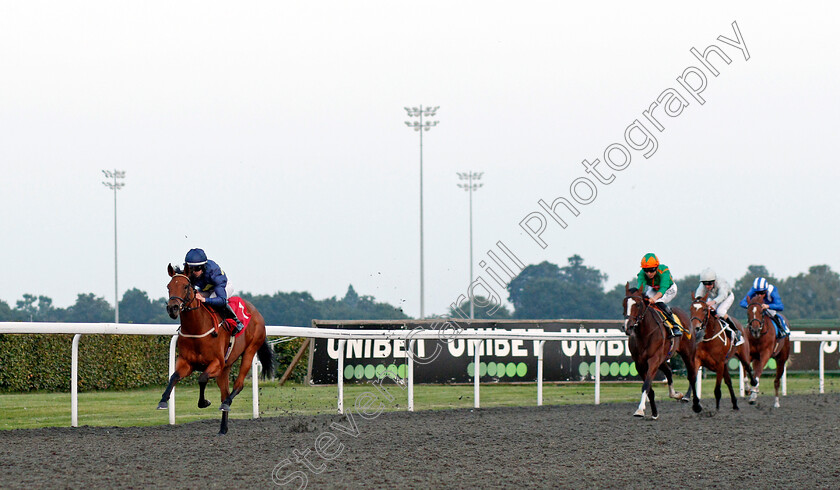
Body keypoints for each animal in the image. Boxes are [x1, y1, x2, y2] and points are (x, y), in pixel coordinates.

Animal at [157, 264, 272, 432]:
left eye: (185, 286)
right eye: (168, 286)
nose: (173, 308)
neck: (197, 328)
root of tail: (256, 312)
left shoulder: (216, 363)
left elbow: (202, 378)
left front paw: (204, 402)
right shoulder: (187, 362)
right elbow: (174, 376)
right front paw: (163, 400)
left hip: (250, 351)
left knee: (238, 385)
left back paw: (226, 403)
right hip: (226, 367)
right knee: (224, 392)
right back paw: (223, 429)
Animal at [620, 286, 704, 420]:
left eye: (638, 304)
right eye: (624, 304)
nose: (628, 327)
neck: (644, 333)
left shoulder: (654, 360)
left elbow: (646, 385)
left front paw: (640, 409)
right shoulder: (640, 363)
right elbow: (650, 388)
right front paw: (654, 413)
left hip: (688, 354)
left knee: (691, 376)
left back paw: (696, 405)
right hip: (663, 358)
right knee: (669, 371)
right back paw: (675, 394)